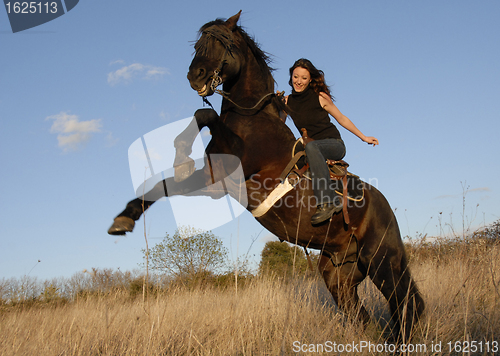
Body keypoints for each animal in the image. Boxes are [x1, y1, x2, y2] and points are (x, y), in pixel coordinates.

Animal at [107, 11, 424, 342]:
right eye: (197, 45)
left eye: (224, 43)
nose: (195, 76)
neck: (252, 117)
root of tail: (384, 207)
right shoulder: (214, 179)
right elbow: (164, 183)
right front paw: (125, 218)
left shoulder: (231, 166)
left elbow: (205, 115)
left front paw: (179, 156)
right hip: (339, 271)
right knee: (362, 313)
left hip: (382, 260)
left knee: (405, 302)